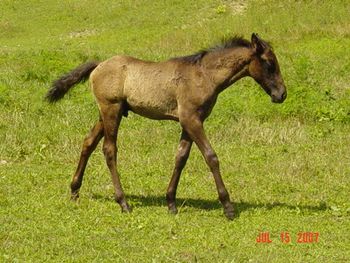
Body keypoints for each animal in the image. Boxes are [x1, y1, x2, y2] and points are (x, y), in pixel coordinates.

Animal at [45, 33, 288, 221]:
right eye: (269, 64)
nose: (282, 95)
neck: (204, 75)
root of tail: (98, 65)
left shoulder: (189, 122)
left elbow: (180, 157)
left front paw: (171, 202)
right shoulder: (192, 119)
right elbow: (211, 156)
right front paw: (228, 207)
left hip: (105, 114)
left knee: (88, 143)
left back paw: (74, 192)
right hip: (111, 110)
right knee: (109, 150)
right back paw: (123, 202)